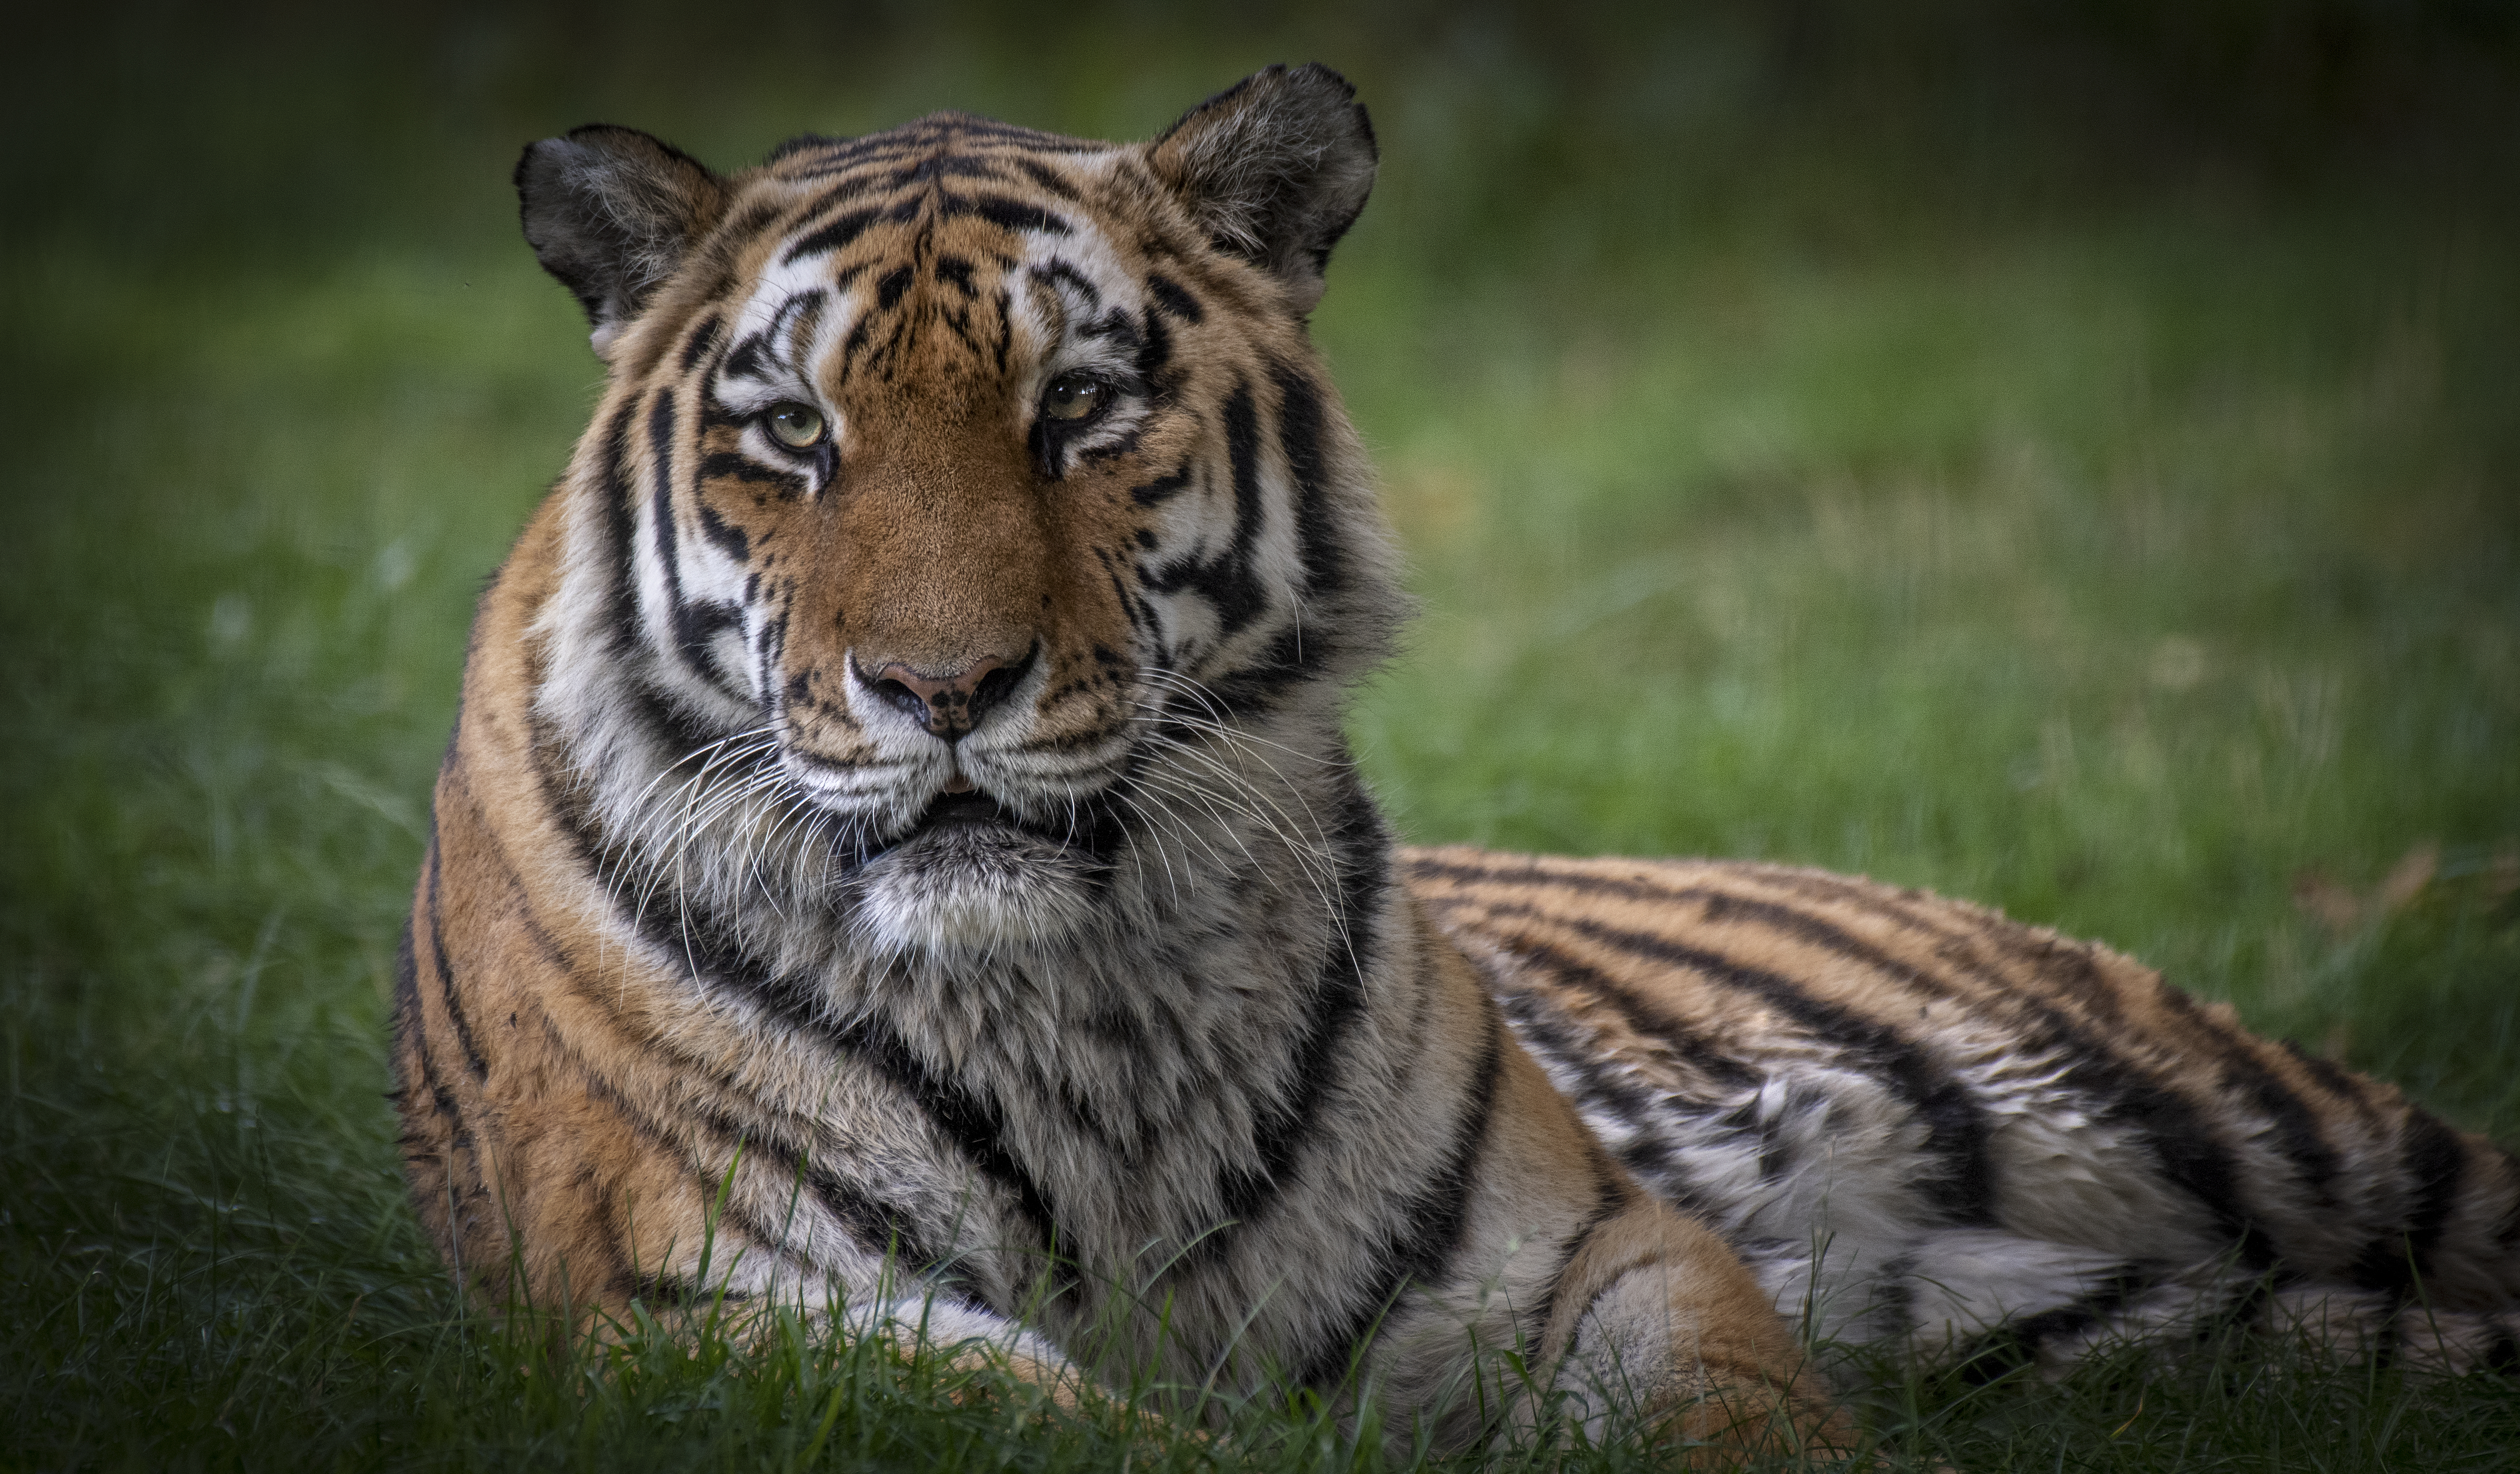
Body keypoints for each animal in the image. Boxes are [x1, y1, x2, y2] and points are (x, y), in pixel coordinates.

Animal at [388, 63, 2520, 1451]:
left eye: (1079, 411)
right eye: (794, 438)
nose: (941, 687)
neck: (1077, 1010)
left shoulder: (1577, 1255)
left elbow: (1749, 1418)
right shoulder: (740, 1315)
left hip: (2216, 1115)